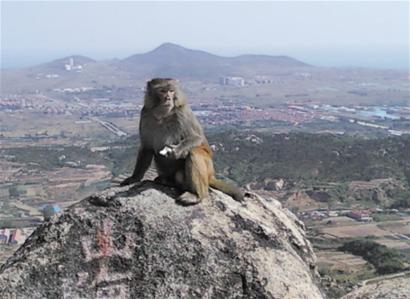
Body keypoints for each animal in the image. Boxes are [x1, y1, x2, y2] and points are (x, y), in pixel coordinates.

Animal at [121, 77, 243, 205]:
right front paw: (134, 177)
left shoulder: (183, 113)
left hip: (208, 168)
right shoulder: (145, 113)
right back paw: (166, 181)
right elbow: (146, 147)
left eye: (171, 91)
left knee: (194, 152)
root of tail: (211, 175)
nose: (168, 98)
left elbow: (198, 138)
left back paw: (196, 195)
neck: (163, 115)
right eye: (162, 91)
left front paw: (177, 151)